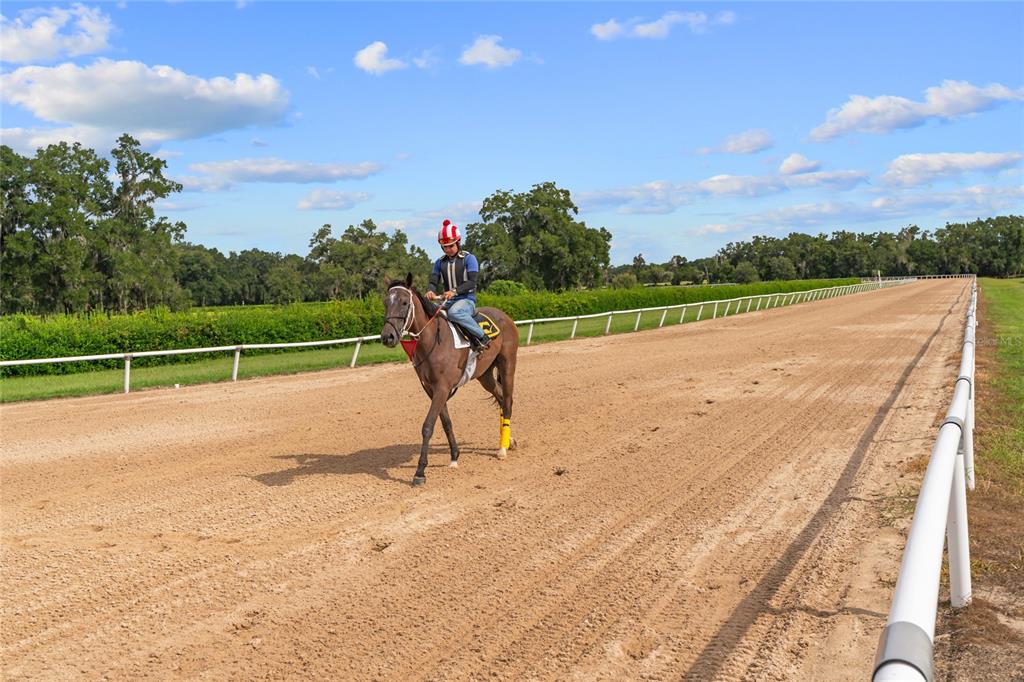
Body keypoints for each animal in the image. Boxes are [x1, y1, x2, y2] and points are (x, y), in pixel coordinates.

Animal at [378, 270, 520, 483]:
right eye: (386, 302)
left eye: (404, 302)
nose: (388, 337)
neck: (433, 340)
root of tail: (504, 316)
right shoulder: (432, 389)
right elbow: (446, 422)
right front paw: (454, 457)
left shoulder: (443, 387)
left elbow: (428, 426)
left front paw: (420, 471)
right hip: (485, 375)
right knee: (502, 398)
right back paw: (508, 440)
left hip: (508, 364)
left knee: (509, 401)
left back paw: (502, 448)